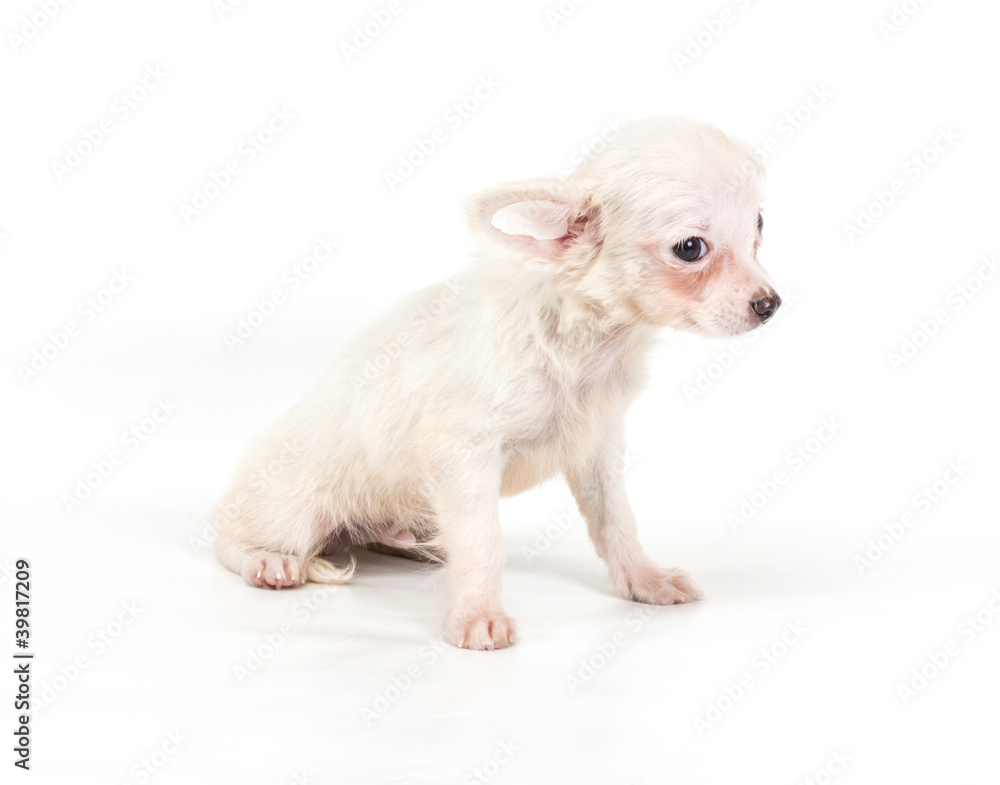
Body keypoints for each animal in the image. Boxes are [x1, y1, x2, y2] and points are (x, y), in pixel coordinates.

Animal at [215, 113, 780, 648]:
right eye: (690, 248)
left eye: (759, 225)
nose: (770, 304)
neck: (588, 344)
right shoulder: (462, 454)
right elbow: (481, 540)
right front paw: (477, 615)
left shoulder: (596, 447)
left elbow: (615, 522)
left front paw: (644, 580)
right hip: (291, 511)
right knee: (227, 537)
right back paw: (268, 562)